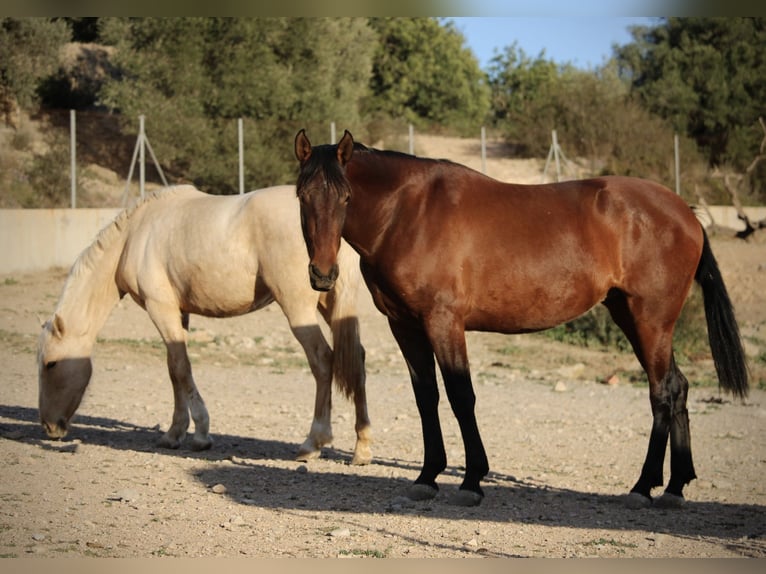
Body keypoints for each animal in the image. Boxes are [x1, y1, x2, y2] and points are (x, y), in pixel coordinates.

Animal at [38, 186, 372, 468]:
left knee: (322, 360)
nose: (49, 426)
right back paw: (362, 448)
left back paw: (313, 442)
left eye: (51, 364)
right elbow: (174, 370)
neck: (135, 236)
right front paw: (174, 433)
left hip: (298, 308)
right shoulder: (179, 313)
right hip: (330, 306)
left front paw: (199, 434)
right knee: (357, 359)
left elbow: (181, 368)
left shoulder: (160, 308)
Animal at [294, 129, 752, 508]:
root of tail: (686, 213)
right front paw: (427, 476)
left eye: (346, 198)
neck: (408, 213)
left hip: (650, 320)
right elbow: (427, 397)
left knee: (662, 393)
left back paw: (643, 487)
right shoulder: (404, 325)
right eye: (302, 197)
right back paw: (675, 487)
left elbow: (461, 396)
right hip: (633, 317)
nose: (322, 274)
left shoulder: (444, 321)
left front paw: (472, 481)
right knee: (678, 386)